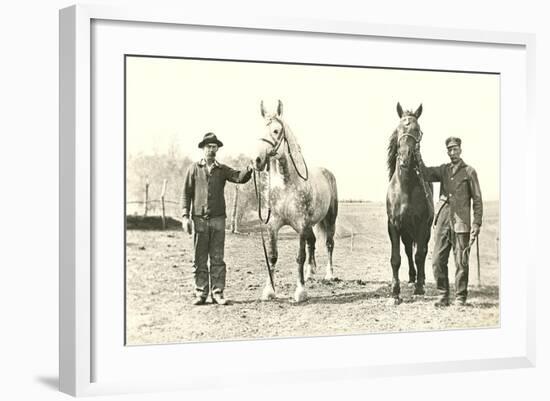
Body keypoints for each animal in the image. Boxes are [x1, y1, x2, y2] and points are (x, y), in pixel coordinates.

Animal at [253, 101, 338, 304]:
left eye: (276, 131)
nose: (257, 160)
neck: (287, 184)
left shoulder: (300, 226)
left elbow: (300, 256)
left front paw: (300, 292)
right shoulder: (273, 225)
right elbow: (272, 256)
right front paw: (269, 291)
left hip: (329, 220)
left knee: (329, 244)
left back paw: (329, 275)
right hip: (310, 225)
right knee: (312, 242)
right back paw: (310, 274)